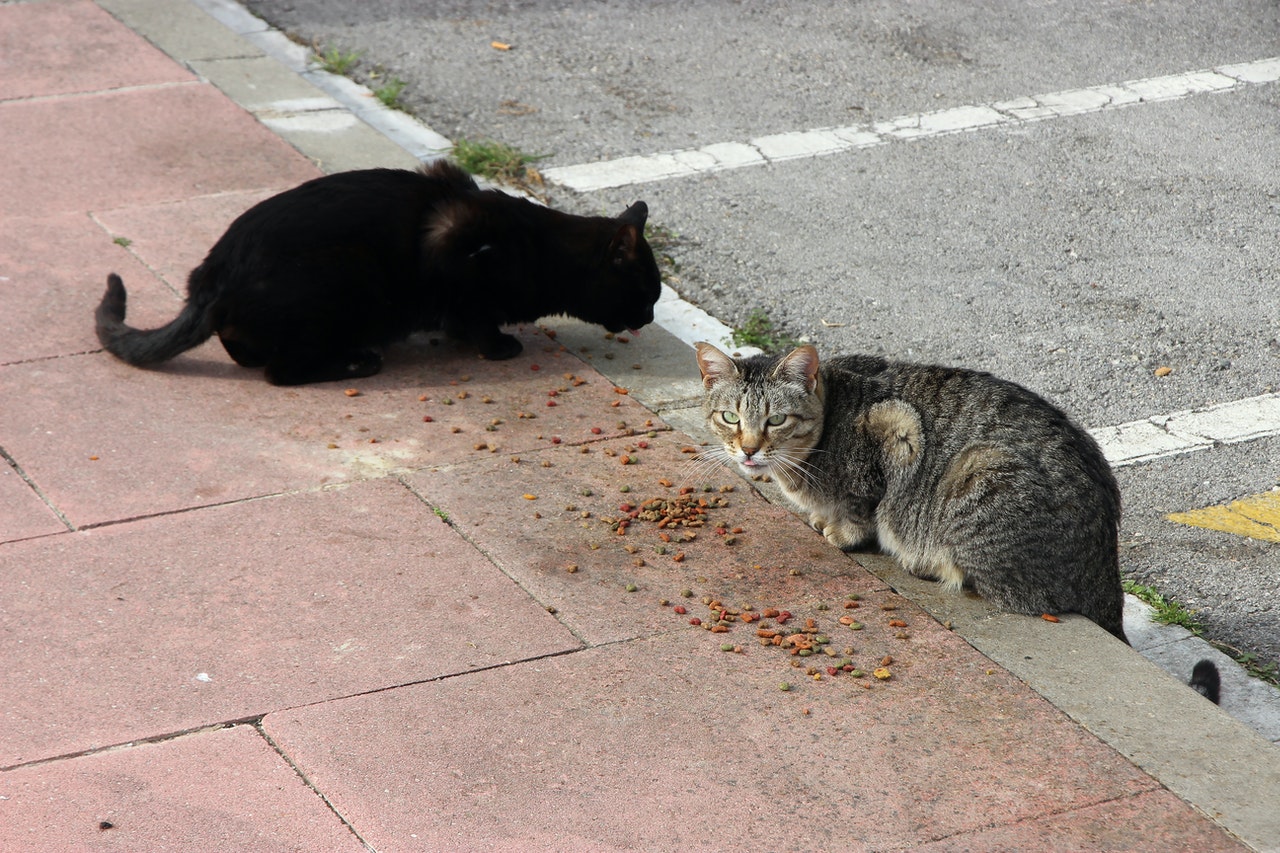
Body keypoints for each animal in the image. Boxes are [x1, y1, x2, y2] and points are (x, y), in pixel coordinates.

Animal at [97, 160, 660, 384]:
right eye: (648, 292)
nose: (652, 318)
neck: (540, 249)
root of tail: (211, 278)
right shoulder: (455, 247)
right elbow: (473, 314)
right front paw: (498, 345)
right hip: (344, 283)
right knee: (282, 372)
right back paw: (357, 361)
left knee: (247, 353)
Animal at [696, 338, 1126, 637]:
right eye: (730, 417)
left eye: (777, 420)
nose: (748, 449)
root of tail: (1106, 569)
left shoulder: (897, 429)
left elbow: (861, 508)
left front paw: (843, 531)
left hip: (981, 470)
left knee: (1016, 594)